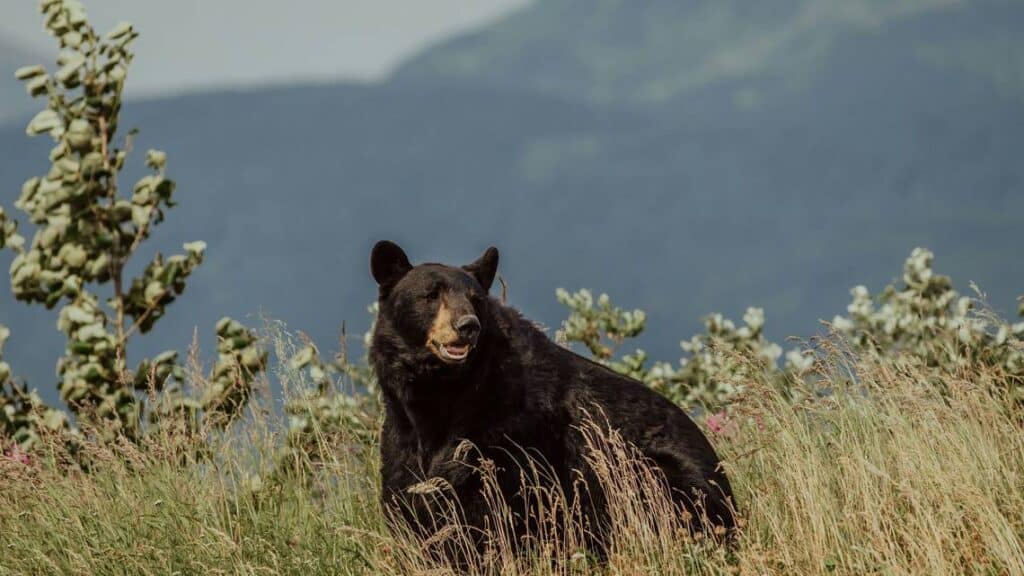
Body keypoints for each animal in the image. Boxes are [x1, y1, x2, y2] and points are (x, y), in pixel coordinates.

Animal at [368, 239, 737, 553]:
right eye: (431, 295)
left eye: (475, 299)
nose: (467, 325)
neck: (440, 393)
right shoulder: (402, 432)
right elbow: (408, 495)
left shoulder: (507, 430)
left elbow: (490, 503)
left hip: (651, 473)